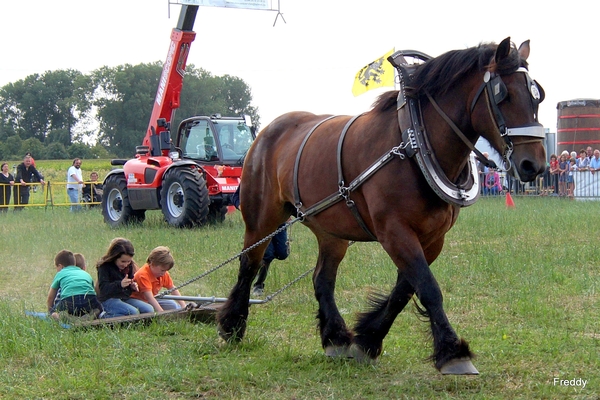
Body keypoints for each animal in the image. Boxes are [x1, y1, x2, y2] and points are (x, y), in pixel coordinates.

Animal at [217, 38, 548, 376]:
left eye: (537, 95)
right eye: (502, 94)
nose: (533, 165)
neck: (414, 142)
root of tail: (266, 132)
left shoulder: (433, 238)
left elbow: (405, 291)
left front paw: (367, 339)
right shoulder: (395, 232)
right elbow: (428, 287)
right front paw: (454, 351)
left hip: (331, 231)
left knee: (322, 278)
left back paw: (335, 337)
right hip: (262, 219)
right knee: (249, 264)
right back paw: (233, 325)